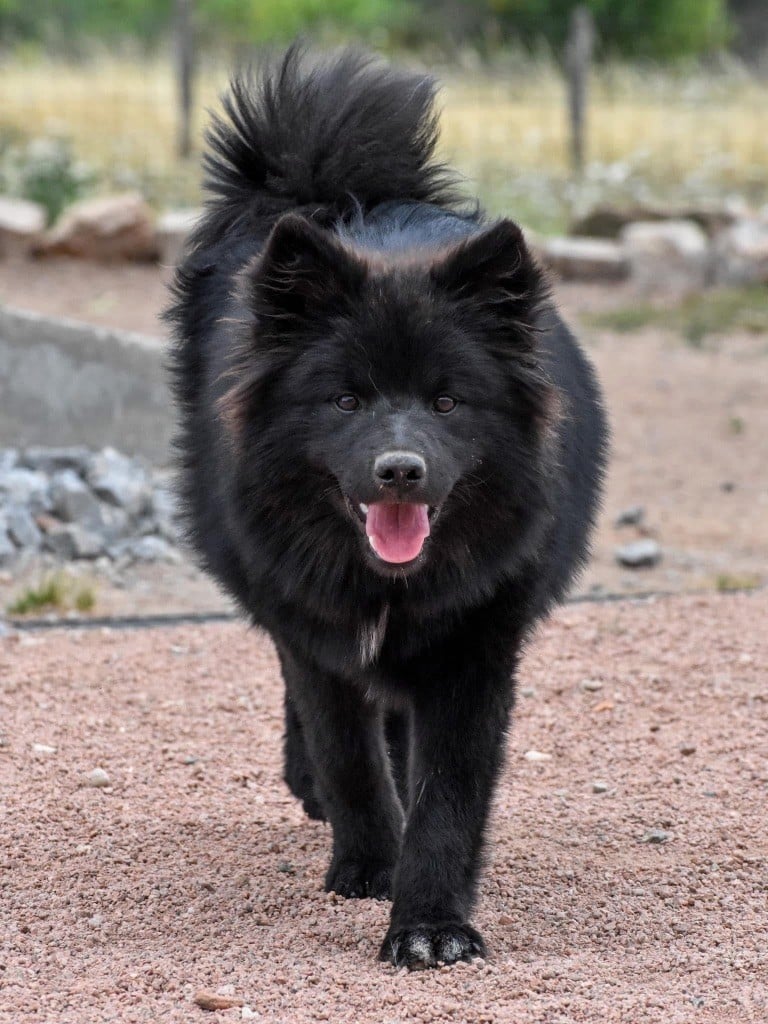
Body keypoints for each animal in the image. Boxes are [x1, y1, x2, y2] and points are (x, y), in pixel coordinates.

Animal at [167, 46, 606, 966]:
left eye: (447, 402)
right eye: (345, 400)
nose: (399, 470)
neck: (387, 582)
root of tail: (335, 195)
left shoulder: (476, 647)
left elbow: (448, 793)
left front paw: (431, 925)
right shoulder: (317, 630)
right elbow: (347, 757)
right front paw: (368, 865)